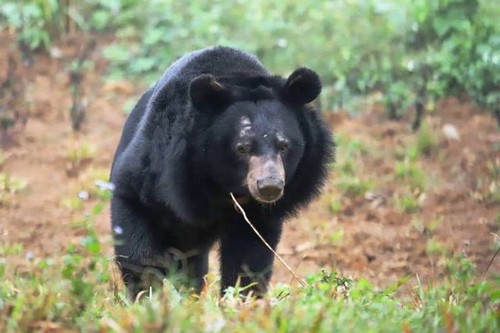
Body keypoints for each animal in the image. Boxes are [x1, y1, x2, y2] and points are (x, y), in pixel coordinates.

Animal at [111, 45, 334, 296]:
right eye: (242, 148)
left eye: (284, 145)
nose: (269, 186)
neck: (225, 188)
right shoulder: (155, 171)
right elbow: (137, 244)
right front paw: (147, 293)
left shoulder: (257, 215)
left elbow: (249, 256)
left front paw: (241, 296)